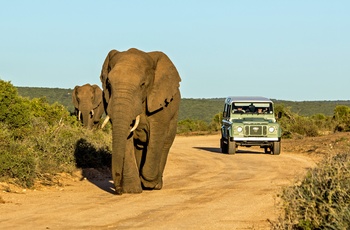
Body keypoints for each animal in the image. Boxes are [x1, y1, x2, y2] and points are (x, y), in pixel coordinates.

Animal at [98, 48, 180, 194]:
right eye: (109, 84)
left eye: (142, 84)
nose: (119, 190)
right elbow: (127, 140)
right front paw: (132, 190)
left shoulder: (160, 105)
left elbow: (156, 137)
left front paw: (148, 183)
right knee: (140, 147)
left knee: (165, 144)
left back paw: (156, 185)